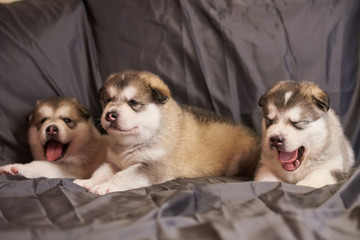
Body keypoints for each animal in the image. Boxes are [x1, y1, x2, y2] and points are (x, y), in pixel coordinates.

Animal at [74, 70, 260, 194]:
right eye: (108, 100)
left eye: (133, 102)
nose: (110, 114)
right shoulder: (113, 161)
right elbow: (101, 171)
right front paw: (89, 182)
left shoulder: (154, 166)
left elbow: (125, 175)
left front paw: (108, 185)